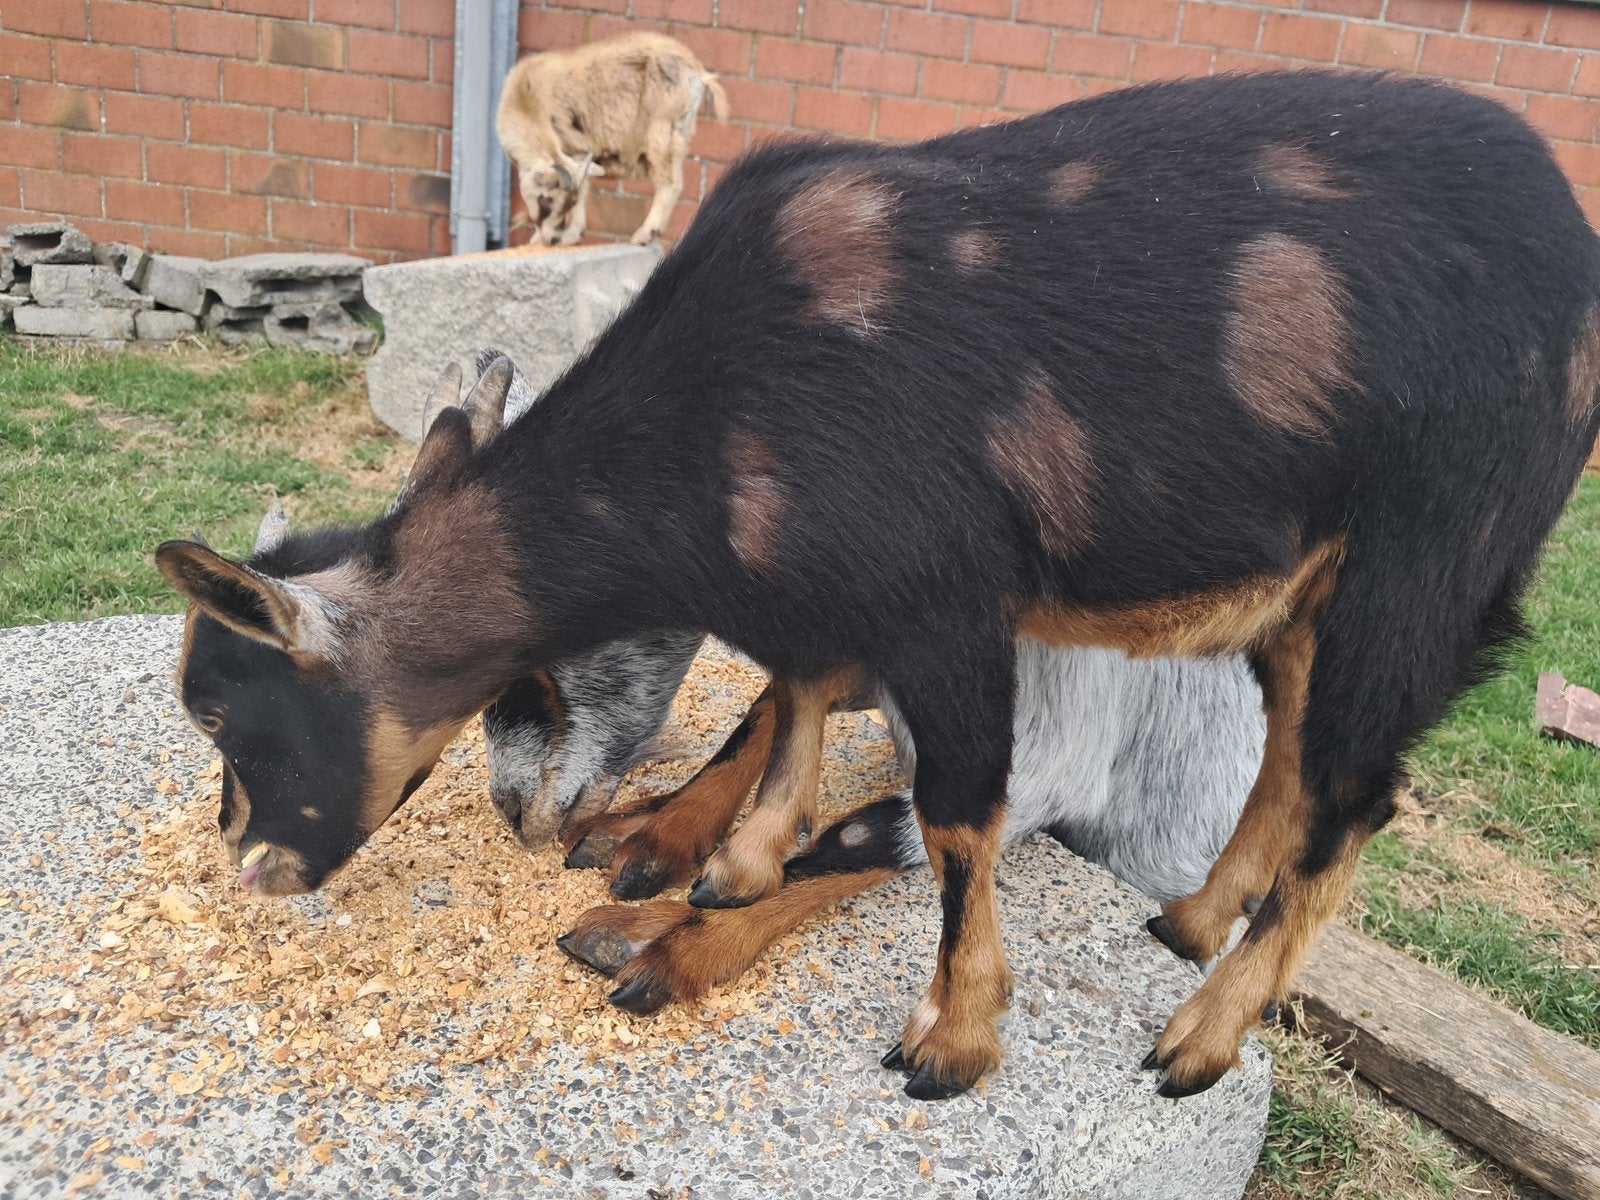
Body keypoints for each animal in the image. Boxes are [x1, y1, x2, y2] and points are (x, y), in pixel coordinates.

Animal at [155, 72, 1600, 1102]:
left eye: (229, 715)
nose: (250, 871)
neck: (718, 399)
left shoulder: (948, 605)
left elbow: (955, 817)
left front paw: (948, 1041)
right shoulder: (837, 591)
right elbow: (793, 698)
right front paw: (728, 865)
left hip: (1426, 554)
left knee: (1357, 797)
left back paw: (1200, 1037)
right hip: (1308, 581)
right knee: (1295, 748)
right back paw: (1192, 924)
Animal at [497, 32, 729, 247]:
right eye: (547, 200)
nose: (551, 239)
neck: (527, 101)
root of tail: (698, 74)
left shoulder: (573, 146)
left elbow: (583, 190)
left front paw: (561, 237)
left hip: (661, 131)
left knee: (670, 182)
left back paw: (644, 234)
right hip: (680, 131)